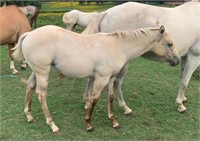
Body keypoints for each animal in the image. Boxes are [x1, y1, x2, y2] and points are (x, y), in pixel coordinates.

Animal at [11, 25, 179, 133]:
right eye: (169, 44)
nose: (177, 61)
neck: (118, 46)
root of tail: (29, 34)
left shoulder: (110, 79)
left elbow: (110, 97)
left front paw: (113, 121)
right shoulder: (101, 78)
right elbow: (95, 98)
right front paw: (88, 124)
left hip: (37, 72)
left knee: (29, 87)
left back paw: (29, 116)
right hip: (43, 73)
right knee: (41, 94)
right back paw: (52, 125)